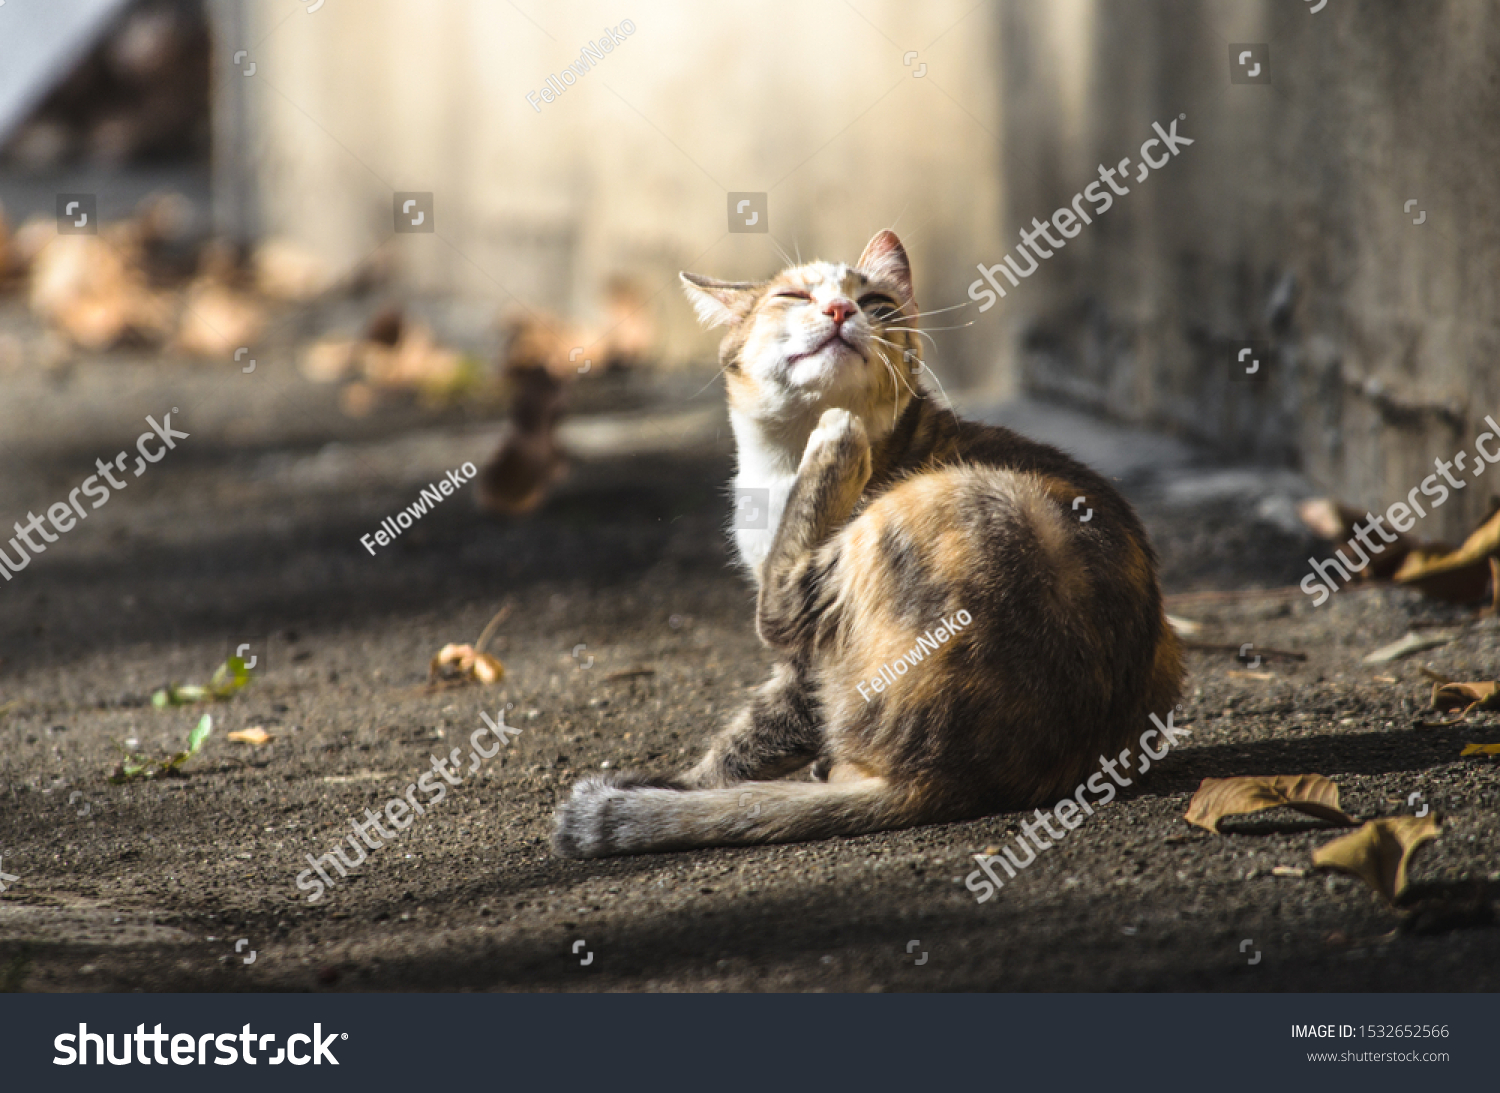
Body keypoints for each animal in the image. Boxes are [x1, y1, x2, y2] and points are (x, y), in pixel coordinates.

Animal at [552, 230, 1182, 857]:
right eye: (791, 295)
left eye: (875, 301)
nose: (839, 309)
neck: (778, 469)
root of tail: (949, 779)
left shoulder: (804, 657)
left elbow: (754, 727)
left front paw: (680, 786)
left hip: (969, 501)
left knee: (779, 605)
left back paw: (837, 448)